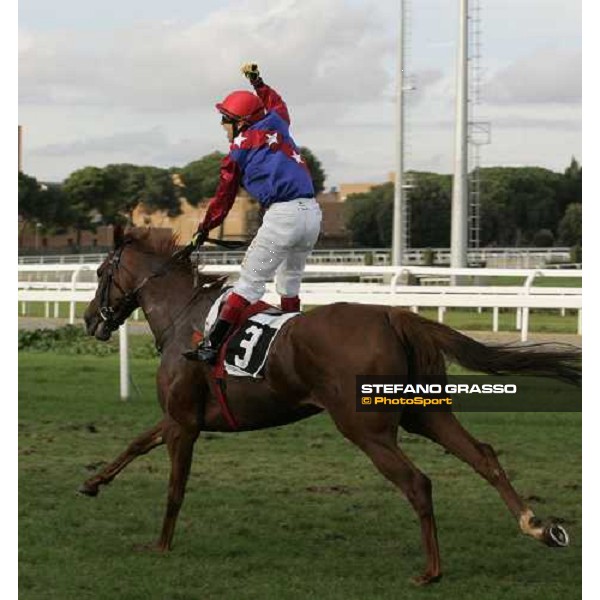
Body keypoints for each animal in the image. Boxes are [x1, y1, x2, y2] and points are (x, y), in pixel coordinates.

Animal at [77, 227, 580, 584]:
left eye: (101, 273)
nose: (87, 320)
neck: (186, 319)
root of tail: (394, 315)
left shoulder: (184, 422)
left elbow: (174, 487)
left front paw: (160, 545)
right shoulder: (181, 418)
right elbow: (135, 444)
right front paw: (92, 482)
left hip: (365, 428)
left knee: (417, 482)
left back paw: (431, 571)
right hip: (426, 412)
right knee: (483, 456)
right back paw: (538, 526)